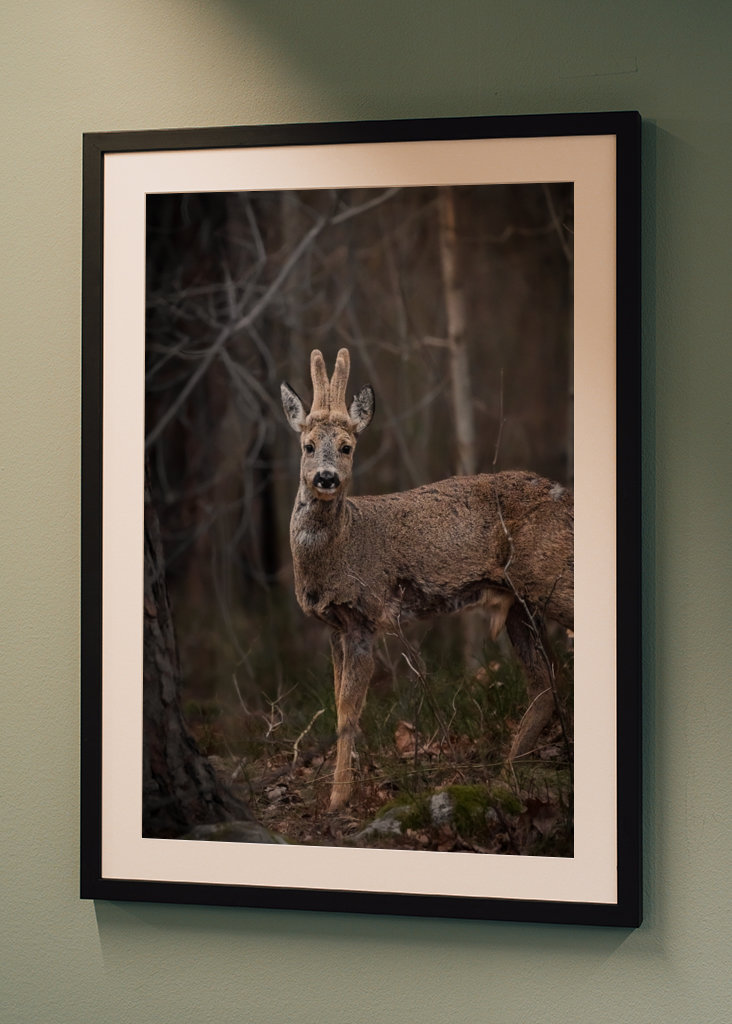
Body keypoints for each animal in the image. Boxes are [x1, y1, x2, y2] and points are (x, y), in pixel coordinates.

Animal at [281, 348, 573, 811]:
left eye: (347, 447)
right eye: (307, 446)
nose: (326, 477)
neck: (343, 545)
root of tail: (568, 500)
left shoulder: (365, 615)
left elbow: (349, 709)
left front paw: (339, 797)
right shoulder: (333, 625)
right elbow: (338, 701)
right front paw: (344, 787)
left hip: (551, 578)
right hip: (520, 603)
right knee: (546, 683)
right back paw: (506, 774)